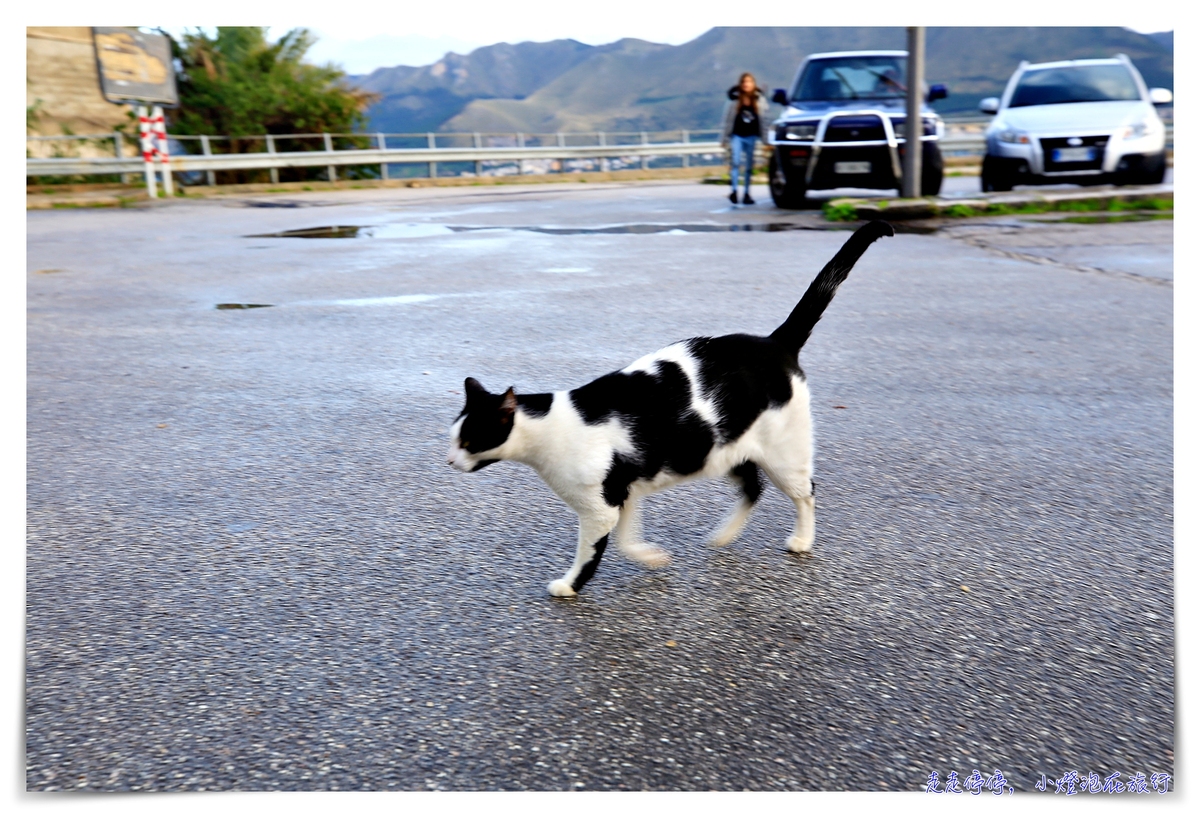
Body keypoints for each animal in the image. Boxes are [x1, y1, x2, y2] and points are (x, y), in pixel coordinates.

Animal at [448, 219, 892, 594]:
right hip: (724, 450)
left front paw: (569, 586)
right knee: (753, 488)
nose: (449, 461)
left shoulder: (600, 508)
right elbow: (627, 540)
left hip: (784, 455)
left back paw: (802, 539)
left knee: (806, 493)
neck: (549, 424)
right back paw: (723, 535)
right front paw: (652, 558)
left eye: (469, 441)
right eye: (452, 438)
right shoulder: (625, 493)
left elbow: (591, 553)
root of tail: (774, 341)